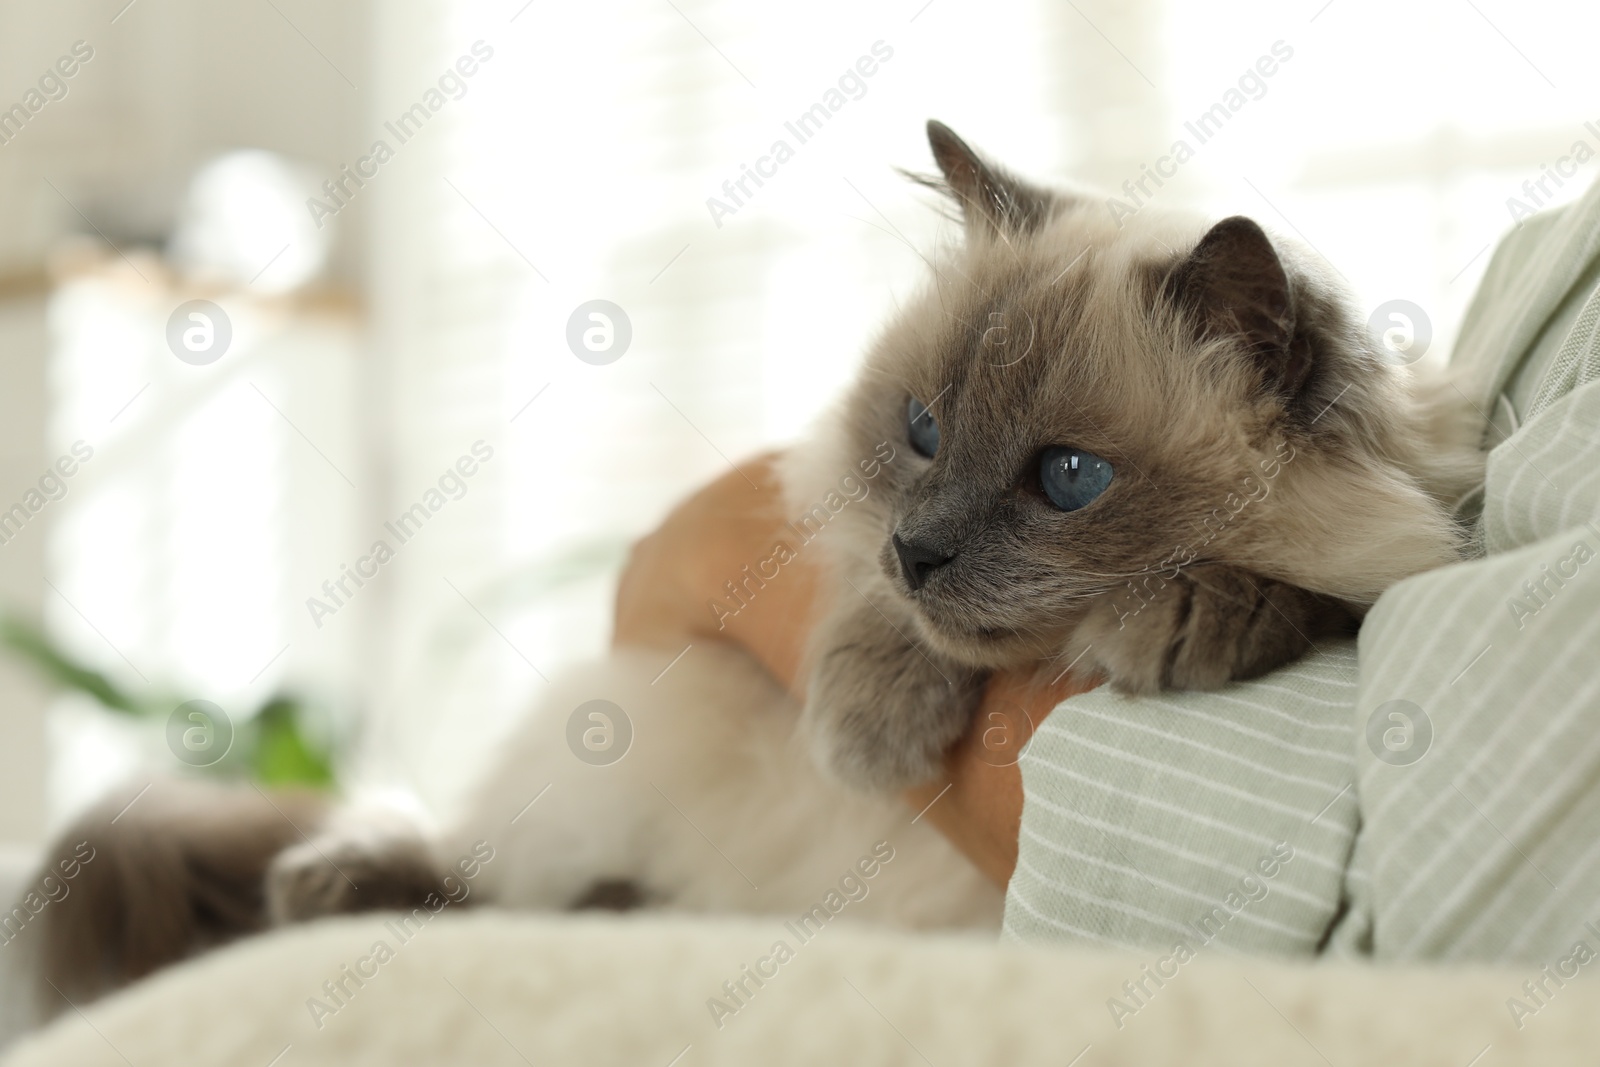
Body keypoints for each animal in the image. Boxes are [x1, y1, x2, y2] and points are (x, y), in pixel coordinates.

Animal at [15, 119, 1484, 1017]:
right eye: (922, 431)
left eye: (1068, 478)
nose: (921, 546)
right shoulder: (837, 524)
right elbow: (864, 610)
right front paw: (870, 721)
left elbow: (1320, 594)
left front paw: (1187, 613)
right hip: (620, 741)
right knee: (473, 863)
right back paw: (336, 883)